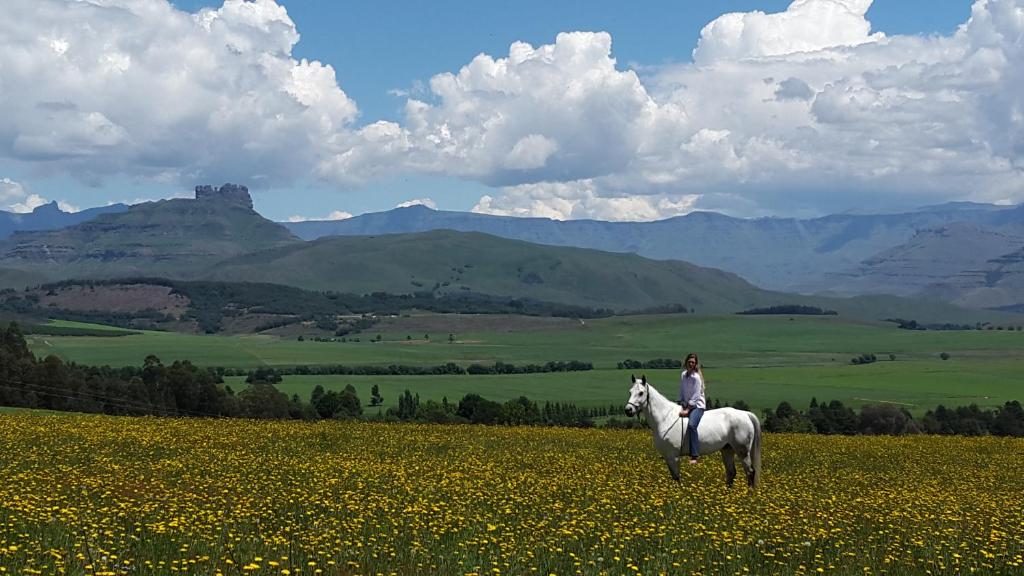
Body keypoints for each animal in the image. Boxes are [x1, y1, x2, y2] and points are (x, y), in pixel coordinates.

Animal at [622, 373, 761, 487]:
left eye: (641, 393)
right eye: (630, 392)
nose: (628, 410)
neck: (665, 418)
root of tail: (745, 414)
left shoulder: (673, 456)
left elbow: (676, 478)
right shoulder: (667, 457)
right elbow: (674, 477)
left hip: (742, 451)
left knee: (750, 472)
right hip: (727, 449)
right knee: (731, 473)